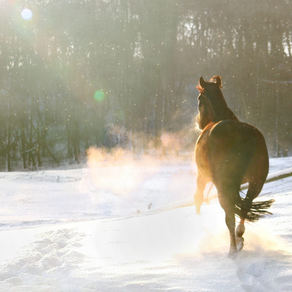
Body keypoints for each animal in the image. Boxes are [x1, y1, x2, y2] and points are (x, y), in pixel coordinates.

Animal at [194, 75, 274, 256]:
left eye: (199, 99)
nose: (199, 123)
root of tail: (247, 135)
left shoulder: (202, 176)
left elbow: (198, 199)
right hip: (256, 182)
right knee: (245, 205)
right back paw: (239, 236)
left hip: (223, 184)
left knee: (229, 214)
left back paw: (232, 249)